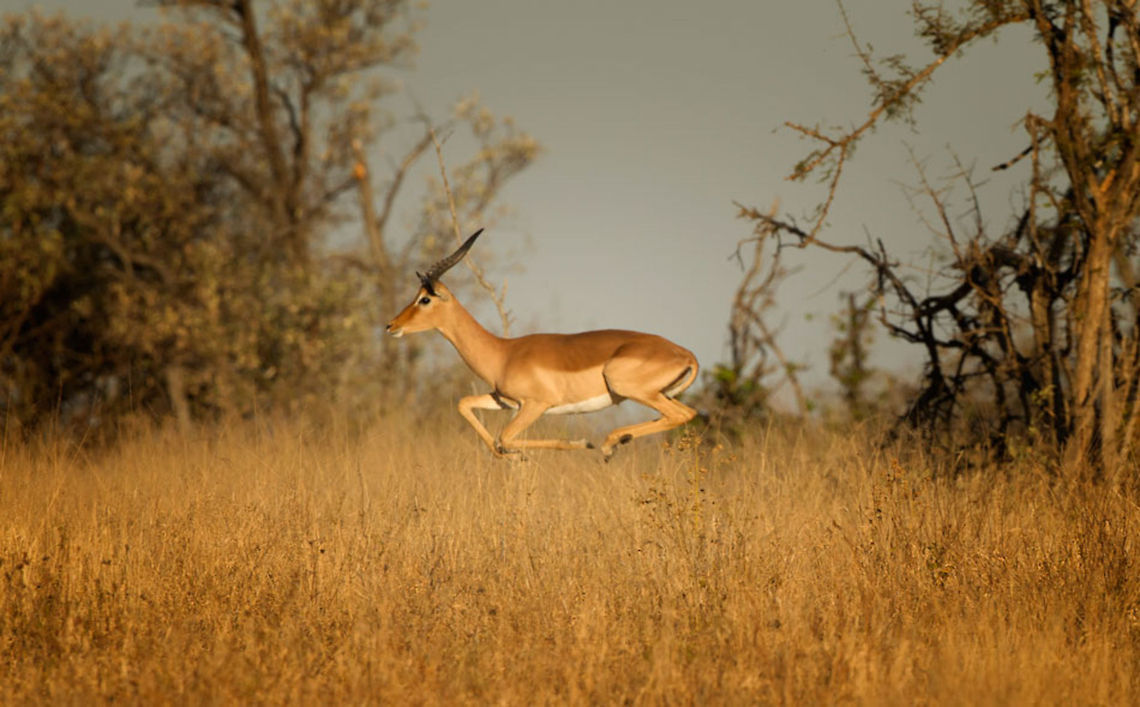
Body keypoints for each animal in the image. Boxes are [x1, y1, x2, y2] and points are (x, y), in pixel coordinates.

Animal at [386, 229, 699, 459]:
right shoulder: (503, 401)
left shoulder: (536, 404)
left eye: (425, 299)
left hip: (626, 386)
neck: (502, 353)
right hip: (659, 394)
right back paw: (620, 439)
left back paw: (609, 444)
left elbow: (504, 437)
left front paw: (579, 444)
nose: (391, 326)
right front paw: (511, 456)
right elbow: (467, 407)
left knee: (683, 414)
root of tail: (686, 355)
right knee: (683, 414)